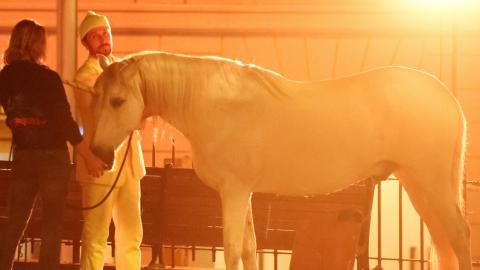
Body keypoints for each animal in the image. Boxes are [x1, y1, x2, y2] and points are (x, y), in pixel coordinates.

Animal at [90, 51, 472, 270]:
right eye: (95, 95)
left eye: (118, 101)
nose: (99, 153)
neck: (217, 106)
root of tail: (447, 97)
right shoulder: (243, 193)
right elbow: (249, 249)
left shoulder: (233, 192)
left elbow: (232, 250)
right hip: (417, 184)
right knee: (444, 239)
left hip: (431, 182)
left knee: (459, 235)